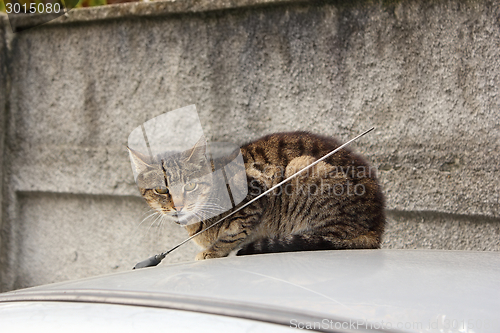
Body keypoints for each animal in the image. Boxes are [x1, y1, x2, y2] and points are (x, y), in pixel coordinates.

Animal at [128, 132, 382, 260]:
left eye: (190, 186)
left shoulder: (256, 194)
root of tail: (377, 229)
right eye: (161, 190)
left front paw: (213, 251)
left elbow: (235, 232)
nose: (178, 206)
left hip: (303, 169)